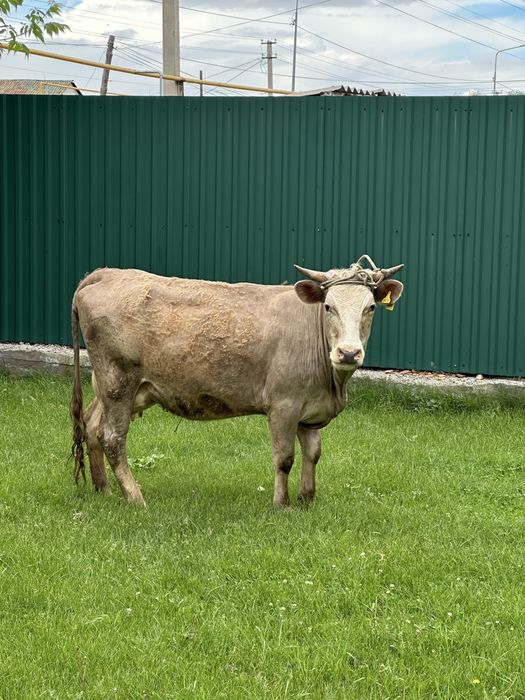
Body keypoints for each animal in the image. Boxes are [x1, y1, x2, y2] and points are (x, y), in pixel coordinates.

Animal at [70, 256, 404, 507]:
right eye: (328, 306)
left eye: (370, 307)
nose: (348, 353)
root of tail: (107, 273)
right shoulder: (283, 406)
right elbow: (284, 458)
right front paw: (281, 504)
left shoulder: (310, 411)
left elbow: (313, 453)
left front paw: (307, 500)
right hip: (118, 381)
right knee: (112, 438)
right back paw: (135, 497)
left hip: (114, 386)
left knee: (92, 426)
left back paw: (104, 489)